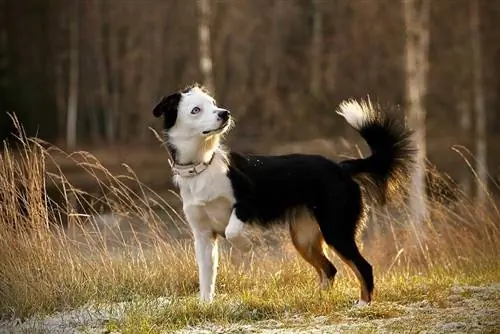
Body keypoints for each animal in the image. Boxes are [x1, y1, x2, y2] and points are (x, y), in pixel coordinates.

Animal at [152, 83, 414, 306]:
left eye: (213, 103)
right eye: (196, 110)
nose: (224, 114)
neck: (203, 165)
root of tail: (342, 168)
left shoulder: (247, 202)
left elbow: (232, 230)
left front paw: (246, 245)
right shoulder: (203, 236)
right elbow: (206, 278)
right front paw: (205, 306)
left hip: (336, 229)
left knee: (363, 266)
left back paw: (362, 304)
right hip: (304, 237)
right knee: (330, 269)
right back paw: (318, 299)